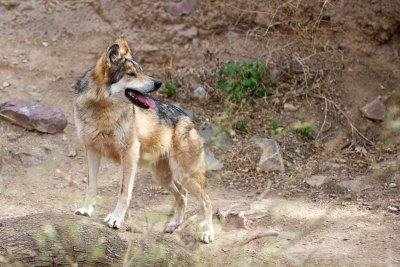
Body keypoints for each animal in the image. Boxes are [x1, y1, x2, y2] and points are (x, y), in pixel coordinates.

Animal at [73, 38, 214, 245]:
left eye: (142, 71)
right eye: (131, 74)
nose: (158, 83)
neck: (102, 110)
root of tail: (188, 118)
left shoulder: (129, 152)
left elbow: (124, 192)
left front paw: (116, 219)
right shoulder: (91, 150)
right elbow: (91, 186)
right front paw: (86, 210)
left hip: (184, 175)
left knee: (206, 200)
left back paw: (207, 232)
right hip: (163, 177)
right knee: (183, 195)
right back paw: (174, 225)